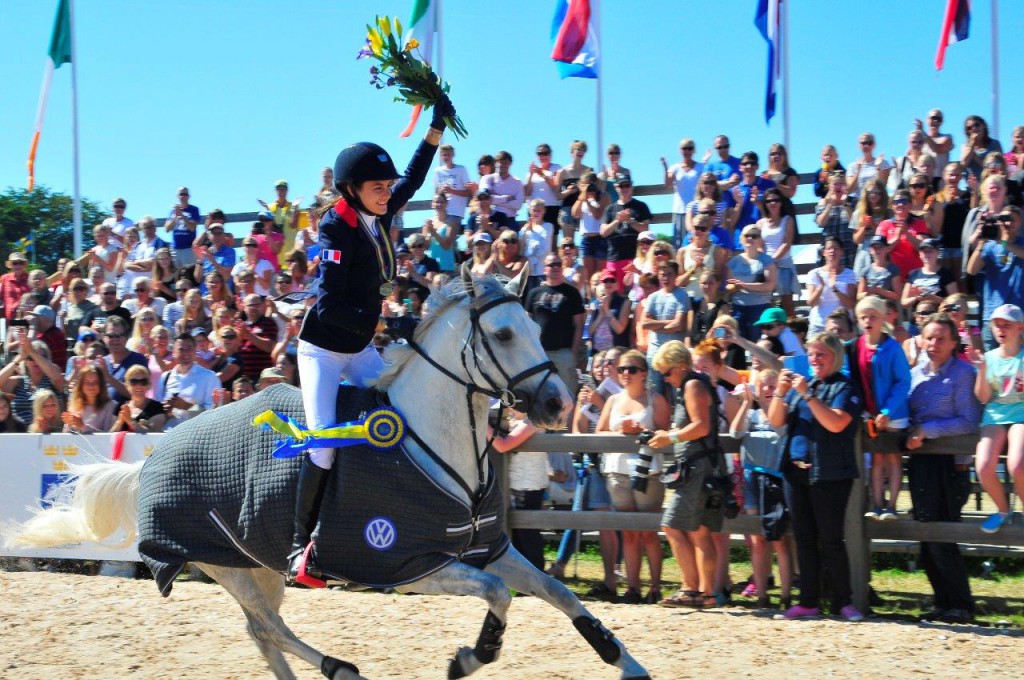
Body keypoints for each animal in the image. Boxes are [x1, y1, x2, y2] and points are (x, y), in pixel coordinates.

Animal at [6, 270, 647, 680]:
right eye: (506, 334)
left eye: (540, 329)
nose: (558, 402)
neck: (436, 443)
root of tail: (152, 457)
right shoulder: (411, 566)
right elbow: (498, 596)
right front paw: (470, 657)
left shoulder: (489, 547)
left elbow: (558, 592)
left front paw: (626, 662)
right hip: (229, 566)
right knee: (269, 629)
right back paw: (342, 669)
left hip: (255, 566)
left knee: (261, 634)